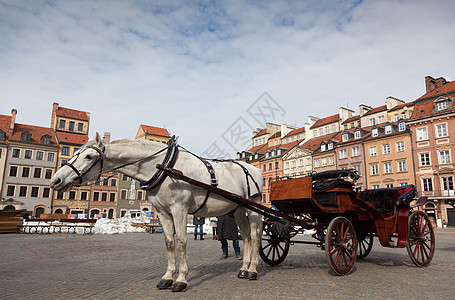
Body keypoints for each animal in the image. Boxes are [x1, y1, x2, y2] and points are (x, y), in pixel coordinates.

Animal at [50, 132, 264, 292]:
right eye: (76, 153)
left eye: (88, 156)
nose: (56, 180)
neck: (166, 167)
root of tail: (253, 168)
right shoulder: (162, 212)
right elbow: (169, 242)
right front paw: (167, 277)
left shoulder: (179, 209)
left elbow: (181, 241)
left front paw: (181, 280)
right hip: (238, 209)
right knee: (246, 236)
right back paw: (243, 269)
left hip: (254, 206)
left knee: (255, 236)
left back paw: (253, 270)